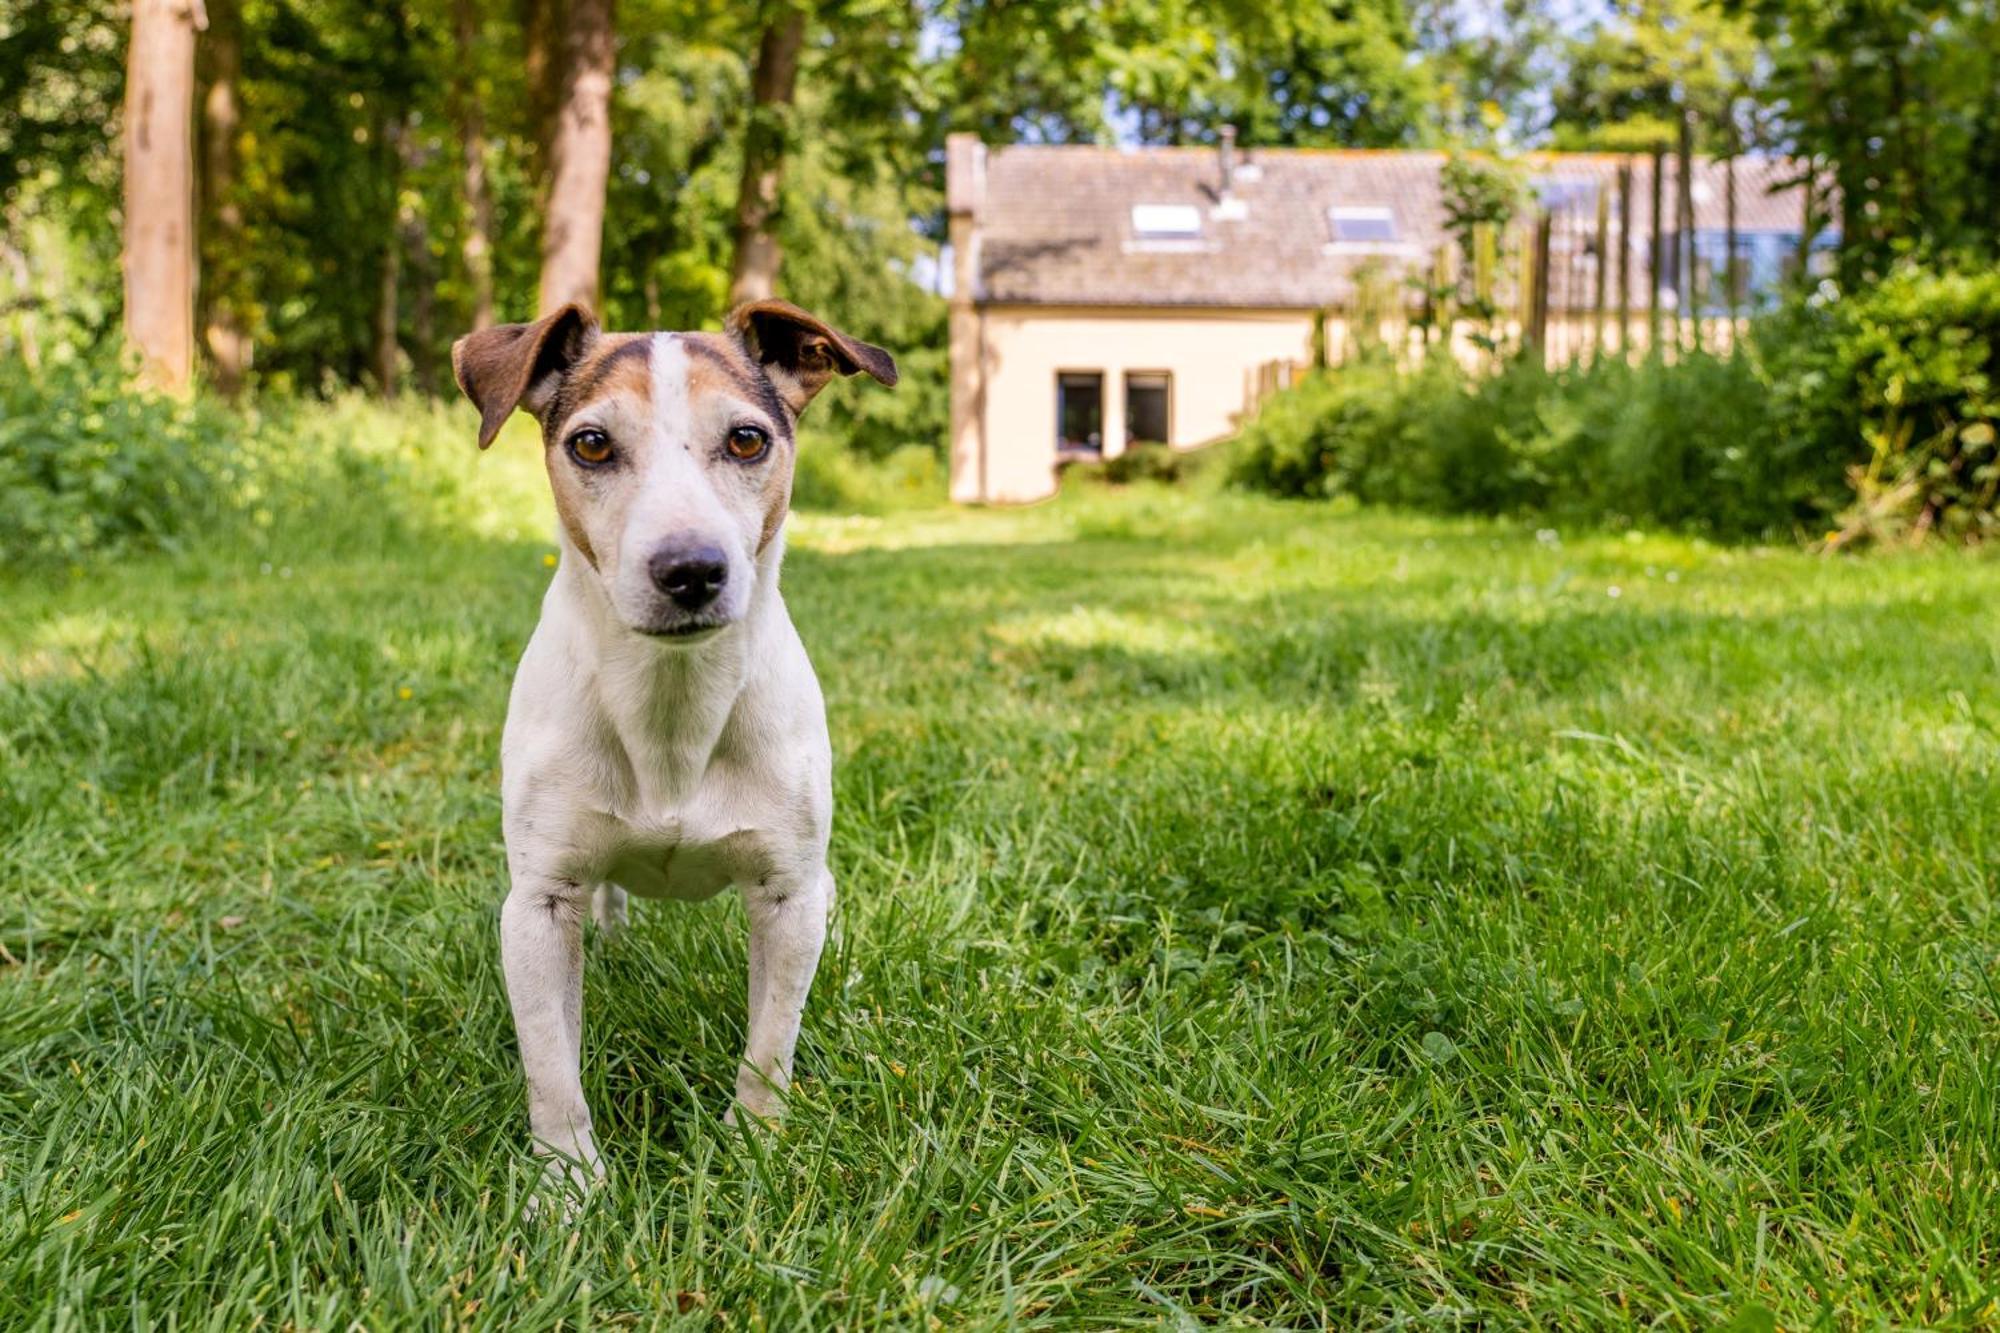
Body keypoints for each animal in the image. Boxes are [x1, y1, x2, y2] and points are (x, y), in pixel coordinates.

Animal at [454, 300, 900, 1192]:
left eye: (748, 439)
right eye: (592, 442)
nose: (691, 568)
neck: (672, 700)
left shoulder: (789, 895)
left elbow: (770, 1047)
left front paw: (755, 1148)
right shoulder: (537, 905)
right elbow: (551, 1067)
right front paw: (568, 1186)